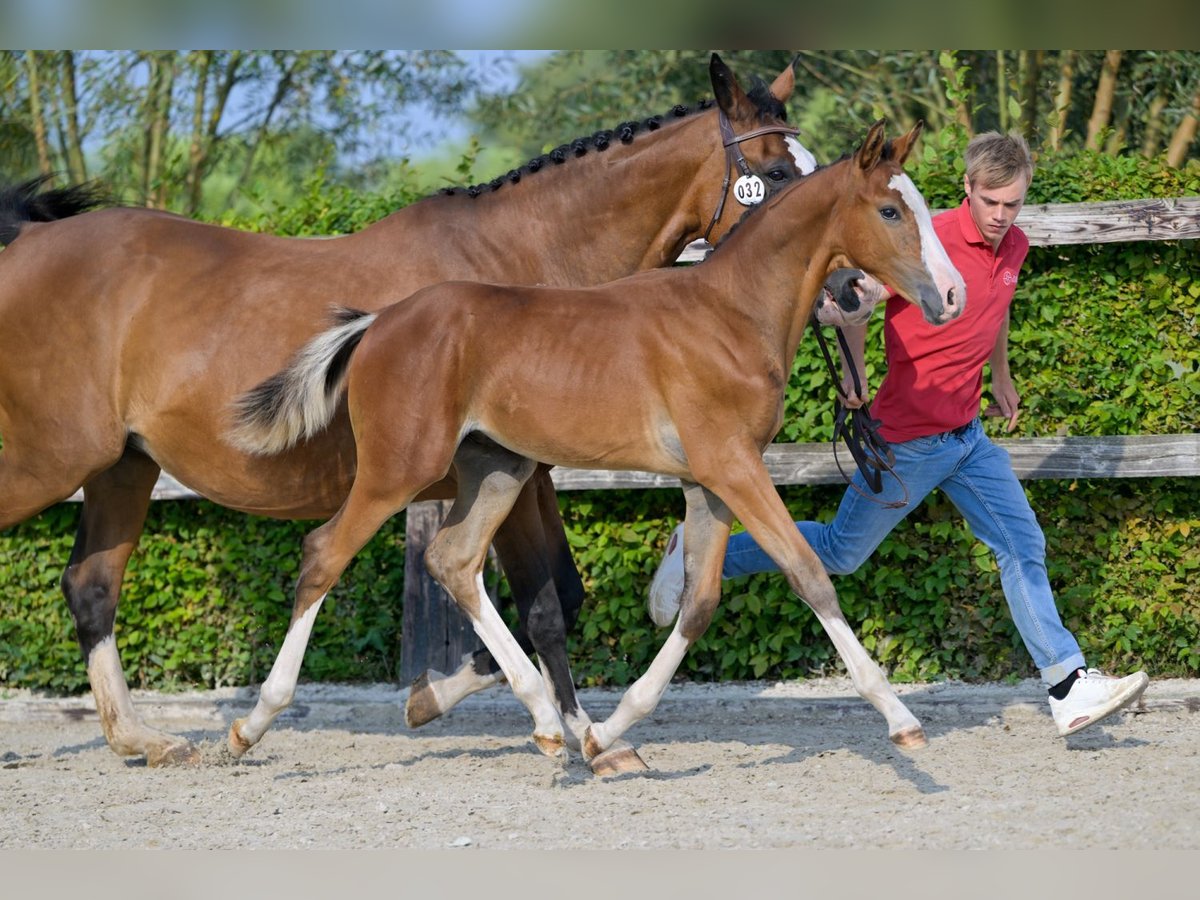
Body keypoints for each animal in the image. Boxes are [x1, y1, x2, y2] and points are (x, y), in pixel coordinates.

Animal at [231, 118, 964, 768]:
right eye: (890, 210)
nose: (952, 296)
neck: (730, 312)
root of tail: (379, 321)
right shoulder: (734, 467)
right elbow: (809, 574)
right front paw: (901, 719)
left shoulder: (709, 480)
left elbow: (699, 603)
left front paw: (608, 734)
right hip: (398, 470)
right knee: (325, 553)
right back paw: (251, 725)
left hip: (499, 468)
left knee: (454, 559)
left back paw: (545, 724)